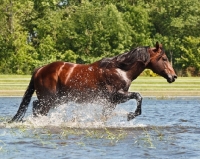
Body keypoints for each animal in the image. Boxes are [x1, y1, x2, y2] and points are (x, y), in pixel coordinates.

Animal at [9, 41, 177, 122]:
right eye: (164, 58)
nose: (173, 76)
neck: (121, 69)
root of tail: (40, 69)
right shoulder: (117, 96)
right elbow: (138, 96)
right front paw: (131, 115)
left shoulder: (111, 102)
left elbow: (104, 116)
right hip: (49, 99)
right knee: (37, 107)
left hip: (57, 100)